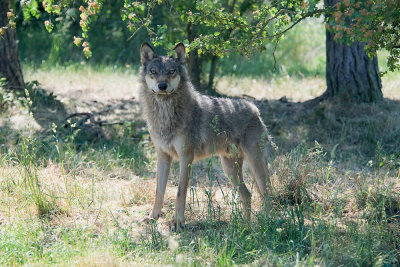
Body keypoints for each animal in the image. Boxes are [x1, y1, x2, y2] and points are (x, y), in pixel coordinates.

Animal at [138, 43, 272, 231]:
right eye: (154, 72)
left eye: (171, 71)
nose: (162, 86)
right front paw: (153, 217)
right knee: (247, 194)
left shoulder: (186, 157)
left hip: (255, 165)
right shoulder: (163, 156)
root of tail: (255, 109)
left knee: (267, 195)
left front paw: (178, 222)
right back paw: (245, 227)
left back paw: (267, 224)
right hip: (229, 169)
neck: (165, 113)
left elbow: (180, 192)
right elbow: (159, 191)